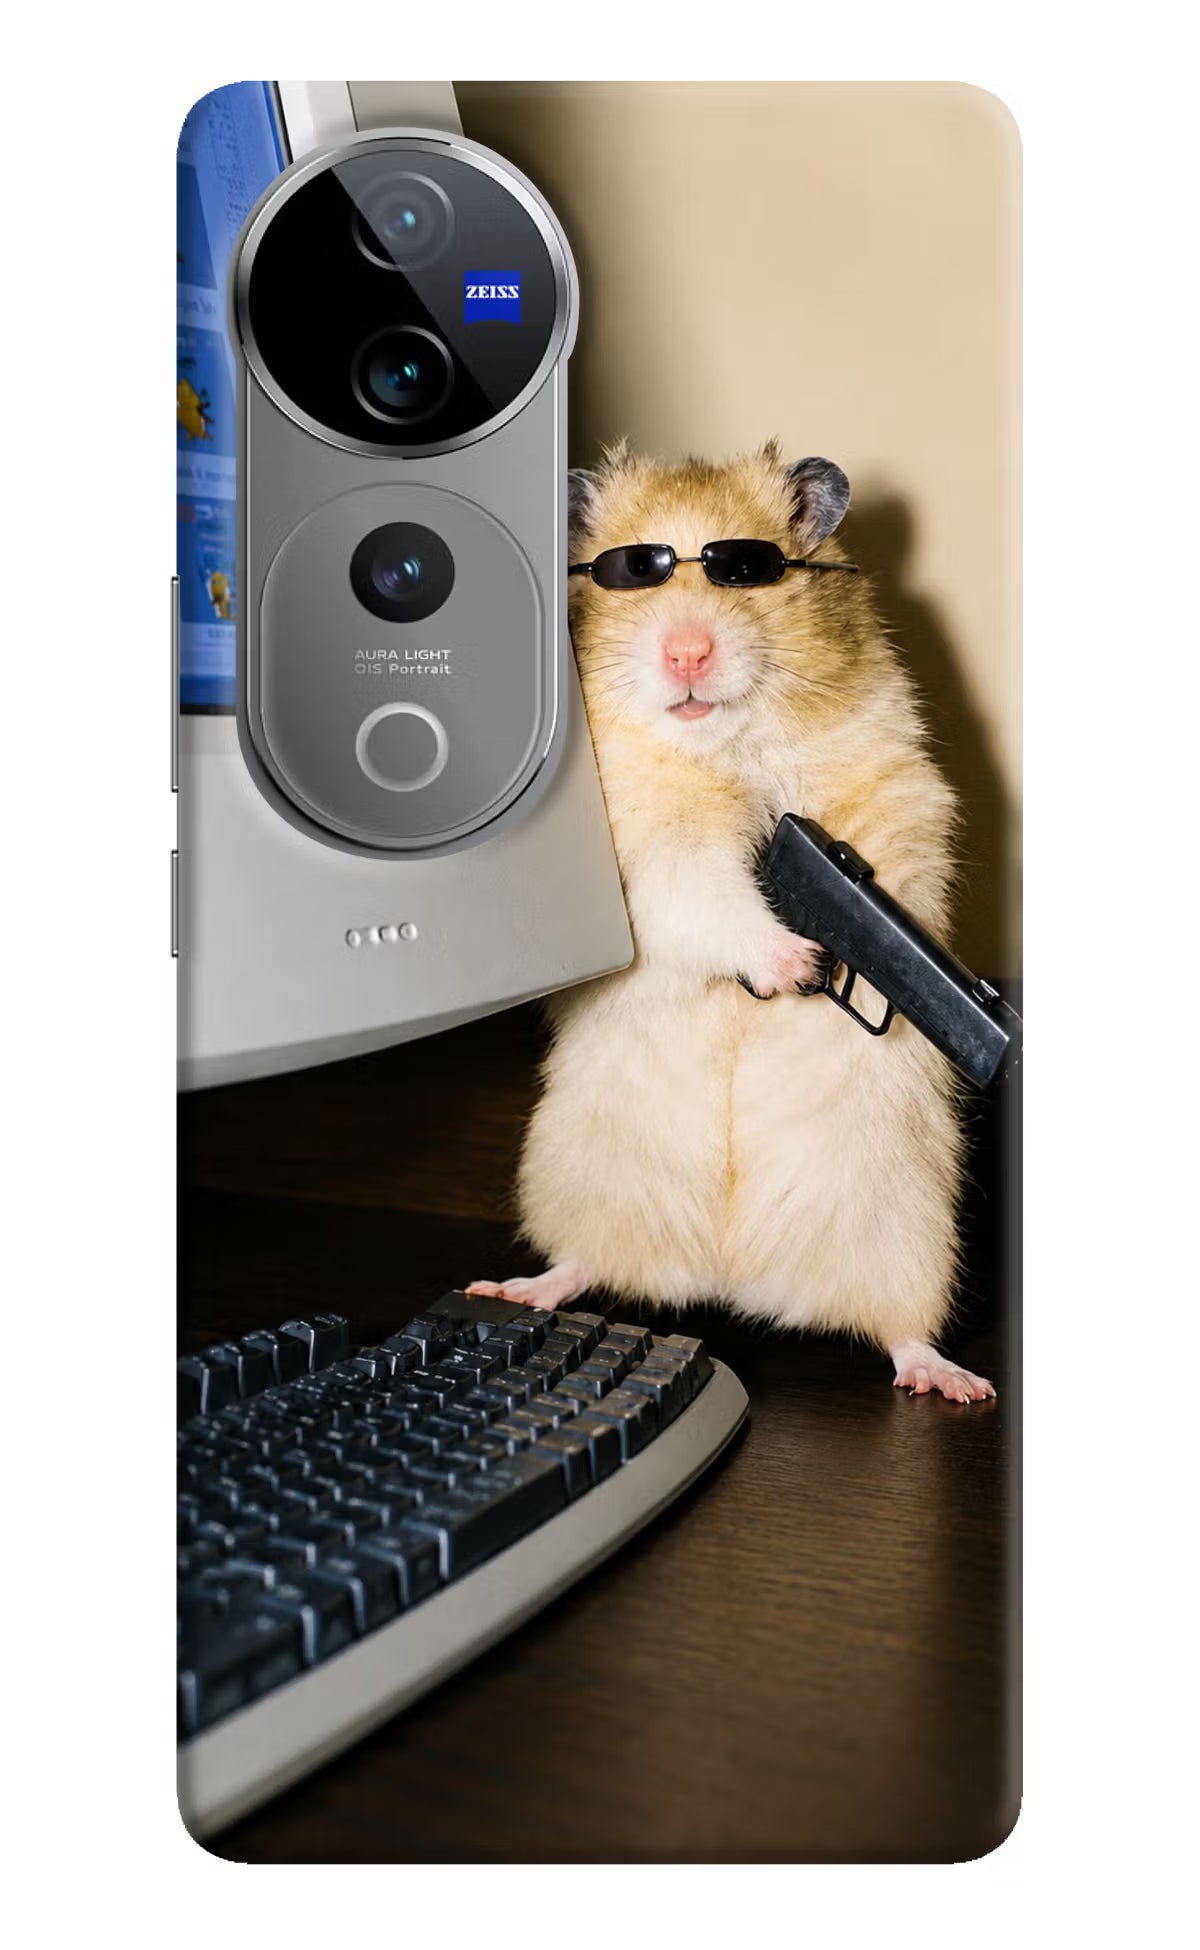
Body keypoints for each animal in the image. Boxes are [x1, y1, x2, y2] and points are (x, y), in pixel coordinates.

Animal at [468, 442, 993, 1403]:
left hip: (907, 1228)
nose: (686, 653)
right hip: (578, 1175)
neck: (725, 745)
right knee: (582, 1262)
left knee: (900, 1328)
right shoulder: (649, 852)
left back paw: (953, 1381)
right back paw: (515, 1288)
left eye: (746, 570)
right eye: (633, 572)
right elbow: (707, 895)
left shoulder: (895, 789)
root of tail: (730, 1277)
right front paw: (796, 964)